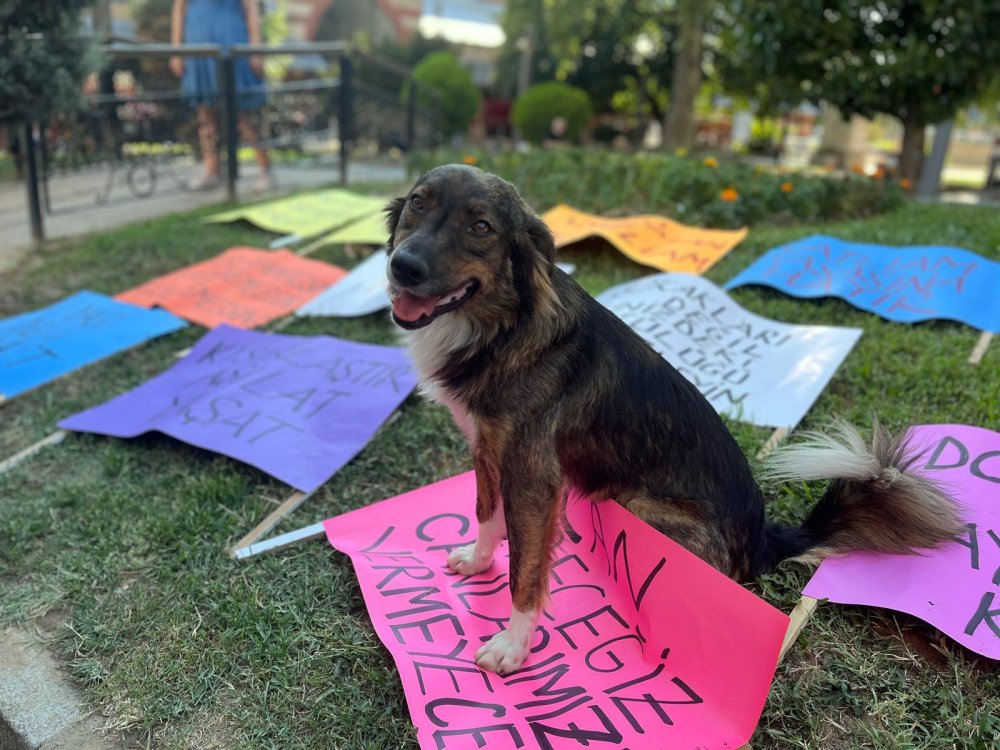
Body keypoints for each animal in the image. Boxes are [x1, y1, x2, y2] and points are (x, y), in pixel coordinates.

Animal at [382, 164, 960, 676]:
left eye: (481, 228)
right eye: (418, 203)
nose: (403, 267)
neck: (503, 327)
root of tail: (761, 538)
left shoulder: (533, 474)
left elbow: (526, 570)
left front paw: (513, 645)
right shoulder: (487, 446)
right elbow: (485, 512)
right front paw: (479, 560)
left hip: (633, 504)